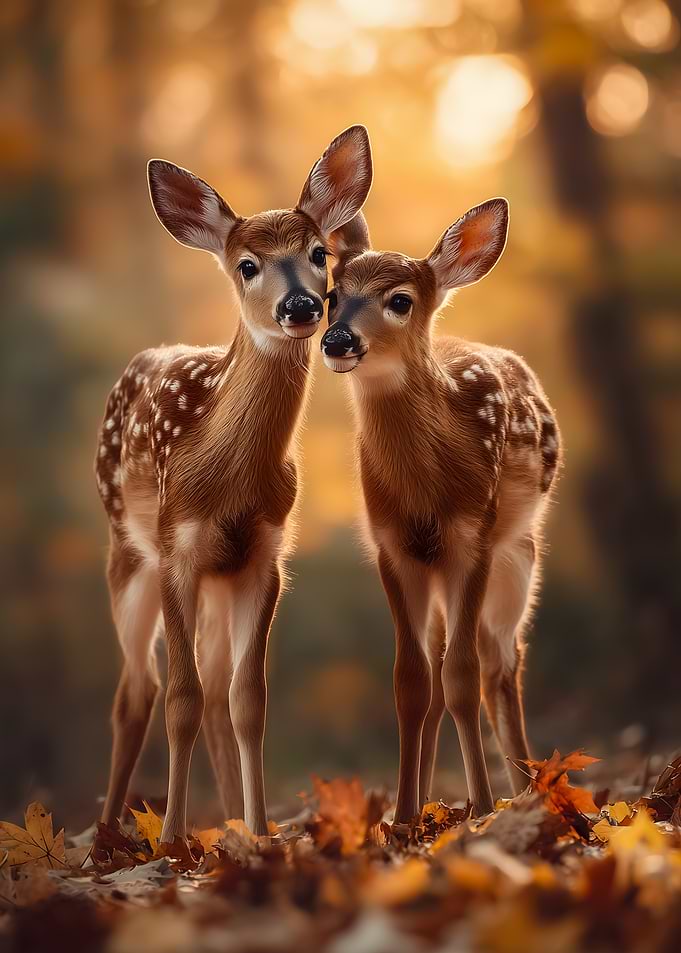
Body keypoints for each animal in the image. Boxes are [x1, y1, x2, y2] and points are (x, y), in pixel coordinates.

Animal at [94, 126, 373, 845]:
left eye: (318, 254)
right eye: (247, 265)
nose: (300, 305)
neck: (227, 478)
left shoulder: (263, 556)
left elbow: (248, 700)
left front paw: (263, 830)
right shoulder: (176, 547)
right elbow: (181, 696)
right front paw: (171, 840)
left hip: (216, 580)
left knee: (215, 689)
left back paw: (228, 828)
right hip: (125, 554)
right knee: (136, 690)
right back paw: (109, 835)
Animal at [320, 200, 562, 822]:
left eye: (401, 300)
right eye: (332, 294)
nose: (336, 340)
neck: (425, 493)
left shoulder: (471, 538)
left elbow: (462, 674)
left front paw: (481, 807)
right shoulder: (393, 548)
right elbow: (411, 683)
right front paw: (403, 816)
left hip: (518, 556)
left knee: (501, 660)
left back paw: (524, 791)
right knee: (439, 668)